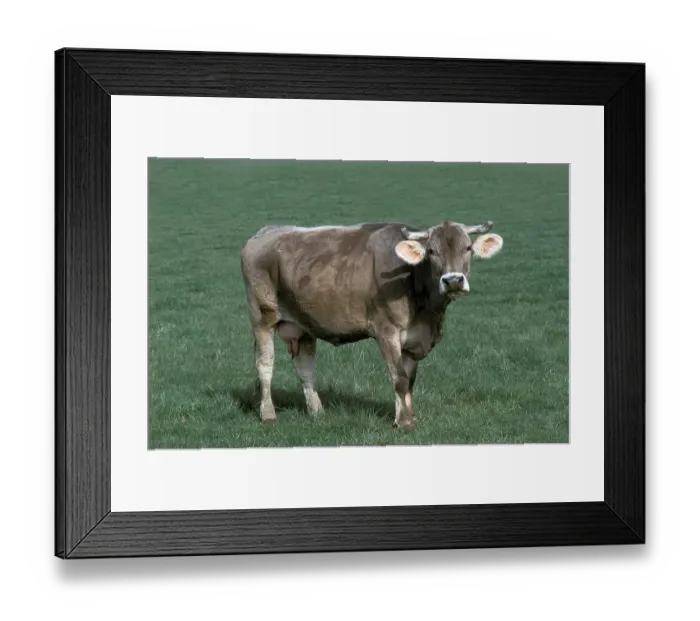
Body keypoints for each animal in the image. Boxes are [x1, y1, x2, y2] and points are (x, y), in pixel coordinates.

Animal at [240, 220, 504, 430]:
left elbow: (409, 381)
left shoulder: (413, 341)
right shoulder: (387, 332)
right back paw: (268, 414)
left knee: (305, 368)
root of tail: (266, 232)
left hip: (303, 325)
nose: (453, 280)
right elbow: (399, 378)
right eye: (431, 251)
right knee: (265, 364)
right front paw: (405, 423)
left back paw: (317, 412)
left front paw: (408, 417)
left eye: (467, 248)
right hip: (262, 316)